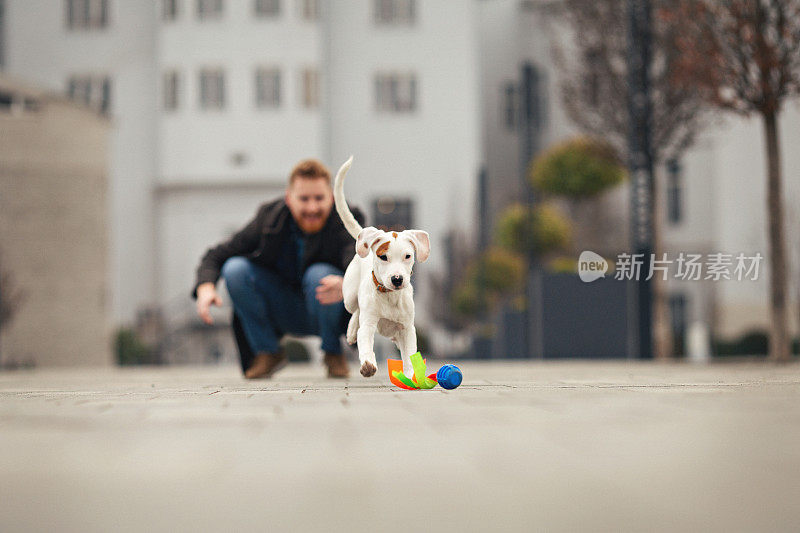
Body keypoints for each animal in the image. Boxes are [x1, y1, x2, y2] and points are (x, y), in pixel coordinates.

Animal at [332, 156, 432, 376]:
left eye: (408, 256)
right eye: (383, 257)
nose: (397, 279)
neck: (389, 296)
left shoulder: (408, 328)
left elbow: (410, 354)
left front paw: (410, 375)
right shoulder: (369, 323)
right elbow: (366, 341)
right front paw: (368, 364)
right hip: (349, 296)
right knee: (355, 311)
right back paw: (351, 331)